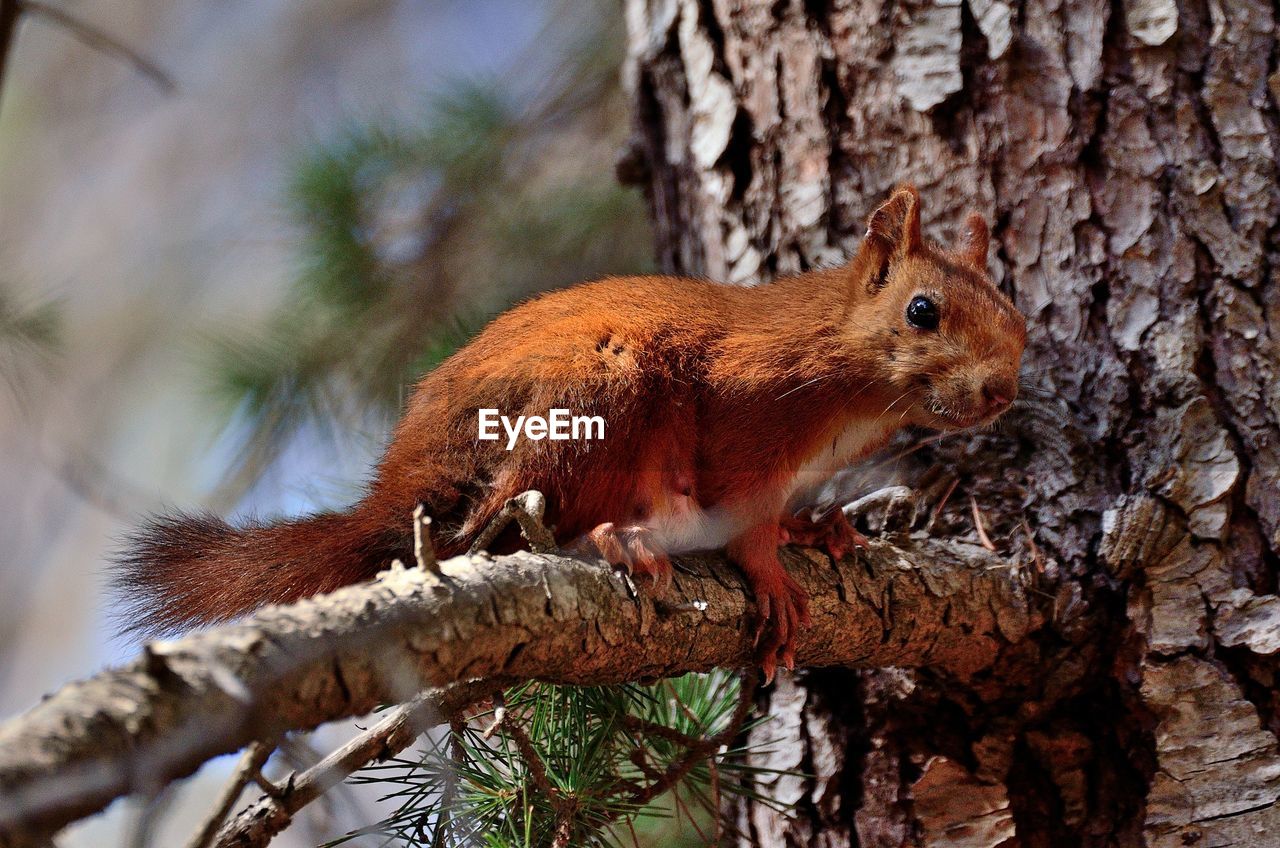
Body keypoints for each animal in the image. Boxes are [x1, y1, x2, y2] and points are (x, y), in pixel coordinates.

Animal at [115, 185, 1024, 676]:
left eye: (1017, 320)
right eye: (922, 310)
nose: (1001, 391)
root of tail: (404, 493)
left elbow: (787, 508)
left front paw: (817, 528)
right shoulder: (747, 408)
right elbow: (742, 507)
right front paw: (770, 565)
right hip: (593, 399)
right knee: (507, 530)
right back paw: (618, 541)